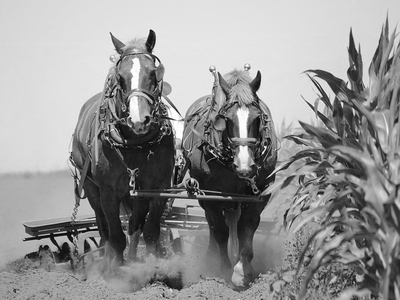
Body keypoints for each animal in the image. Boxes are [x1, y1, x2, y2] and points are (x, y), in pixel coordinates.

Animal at [71, 30, 174, 272]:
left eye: (153, 73)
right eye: (120, 77)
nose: (138, 120)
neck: (135, 143)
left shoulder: (158, 188)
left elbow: (150, 231)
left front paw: (153, 266)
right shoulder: (108, 192)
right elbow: (116, 236)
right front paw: (116, 271)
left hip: (137, 193)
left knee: (135, 226)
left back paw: (134, 258)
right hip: (90, 187)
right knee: (104, 228)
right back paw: (107, 260)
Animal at [182, 65, 278, 288]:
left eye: (257, 118)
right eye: (226, 119)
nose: (245, 166)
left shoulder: (261, 192)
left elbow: (247, 227)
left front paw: (243, 270)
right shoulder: (211, 195)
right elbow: (220, 231)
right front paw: (225, 269)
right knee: (212, 225)